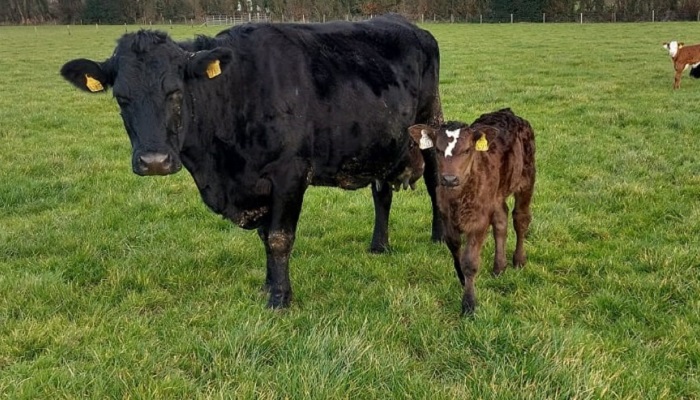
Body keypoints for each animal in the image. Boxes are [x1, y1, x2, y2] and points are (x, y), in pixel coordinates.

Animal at [60, 14, 444, 309]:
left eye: (175, 92)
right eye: (122, 98)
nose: (154, 161)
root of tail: (407, 24)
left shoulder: (289, 174)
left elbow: (278, 237)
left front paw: (280, 299)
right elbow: (264, 237)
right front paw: (267, 286)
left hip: (429, 124)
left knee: (435, 182)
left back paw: (439, 237)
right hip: (381, 142)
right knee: (382, 192)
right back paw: (379, 245)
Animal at [408, 108, 535, 315]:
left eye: (467, 150)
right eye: (437, 150)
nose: (449, 178)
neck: (458, 199)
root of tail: (508, 112)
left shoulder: (479, 219)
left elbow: (470, 261)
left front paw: (468, 304)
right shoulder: (446, 216)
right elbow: (454, 248)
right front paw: (462, 280)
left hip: (527, 177)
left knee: (520, 218)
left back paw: (518, 260)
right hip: (495, 195)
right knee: (501, 220)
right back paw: (499, 267)